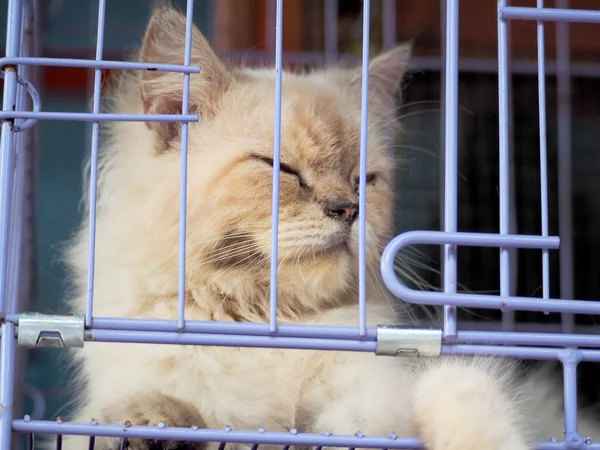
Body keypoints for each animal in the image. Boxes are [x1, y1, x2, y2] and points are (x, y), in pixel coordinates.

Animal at [57, 3, 600, 450]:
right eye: (282, 169)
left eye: (364, 181)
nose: (347, 208)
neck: (268, 328)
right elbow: (158, 411)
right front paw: (153, 426)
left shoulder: (389, 396)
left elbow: (446, 398)